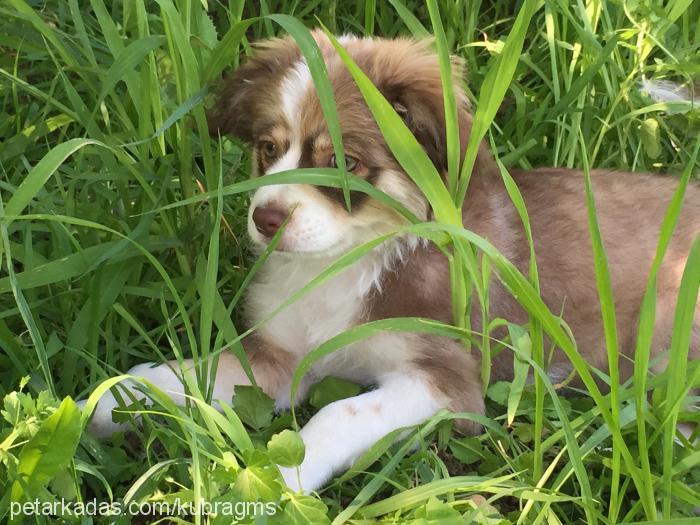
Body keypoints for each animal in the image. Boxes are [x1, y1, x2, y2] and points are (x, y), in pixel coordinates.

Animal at [83, 32, 700, 492]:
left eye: (346, 162)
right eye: (267, 148)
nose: (266, 218)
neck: (343, 264)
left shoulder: (448, 384)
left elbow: (338, 413)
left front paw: (285, 475)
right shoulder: (279, 358)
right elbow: (185, 375)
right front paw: (107, 401)